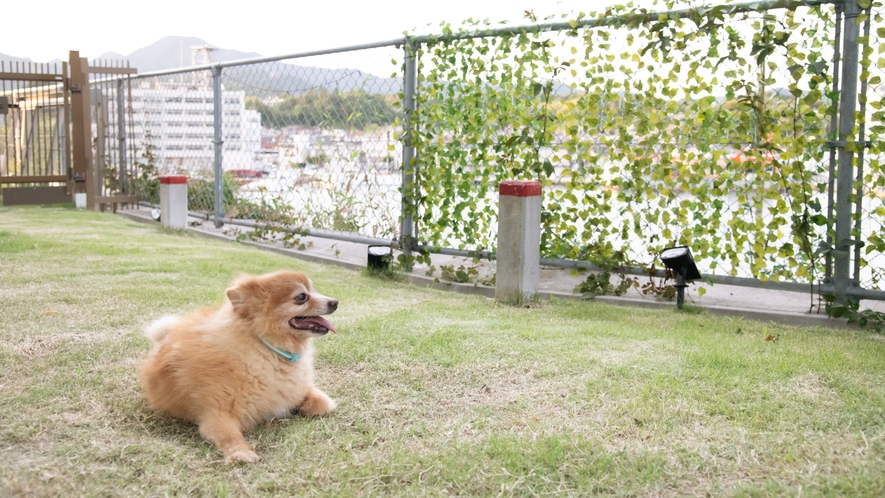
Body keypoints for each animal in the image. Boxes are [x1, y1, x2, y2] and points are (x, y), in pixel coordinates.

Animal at [138, 272, 338, 462]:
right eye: (301, 297)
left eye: (314, 290)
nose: (334, 302)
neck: (267, 350)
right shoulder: (216, 414)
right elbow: (229, 436)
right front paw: (240, 453)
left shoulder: (295, 390)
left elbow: (323, 403)